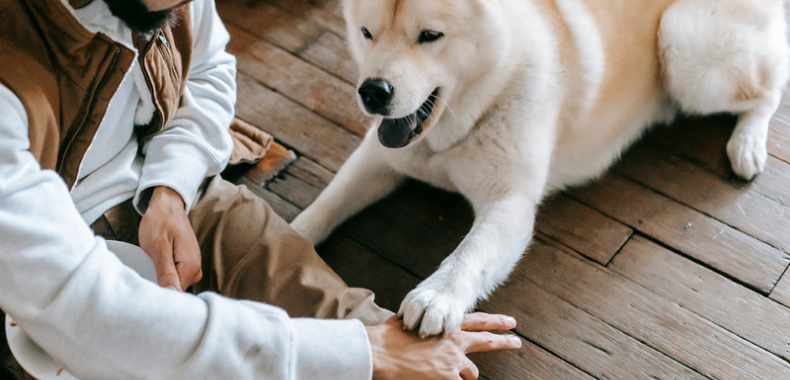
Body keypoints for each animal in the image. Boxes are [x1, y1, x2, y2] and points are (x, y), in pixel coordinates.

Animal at [292, 0, 790, 336]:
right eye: (367, 33)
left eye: (430, 36)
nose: (373, 91)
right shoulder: (381, 155)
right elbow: (327, 203)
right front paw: (288, 236)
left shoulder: (510, 201)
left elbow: (470, 253)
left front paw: (437, 296)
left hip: (685, 47)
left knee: (769, 89)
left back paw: (747, 144)